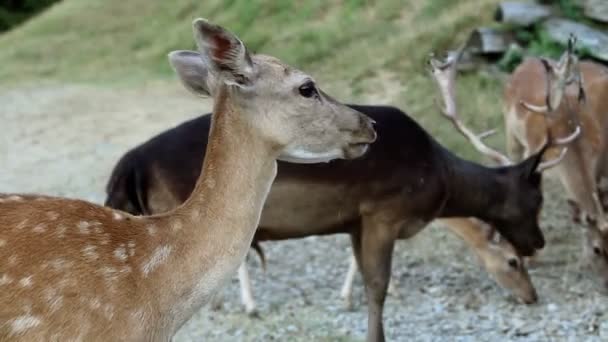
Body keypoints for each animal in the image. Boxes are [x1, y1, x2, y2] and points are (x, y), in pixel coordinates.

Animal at [105, 46, 580, 342]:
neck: (438, 179)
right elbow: (377, 287)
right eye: (536, 198)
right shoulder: (384, 211)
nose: (538, 244)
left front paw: (347, 295)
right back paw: (247, 304)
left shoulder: (355, 220)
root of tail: (128, 165)